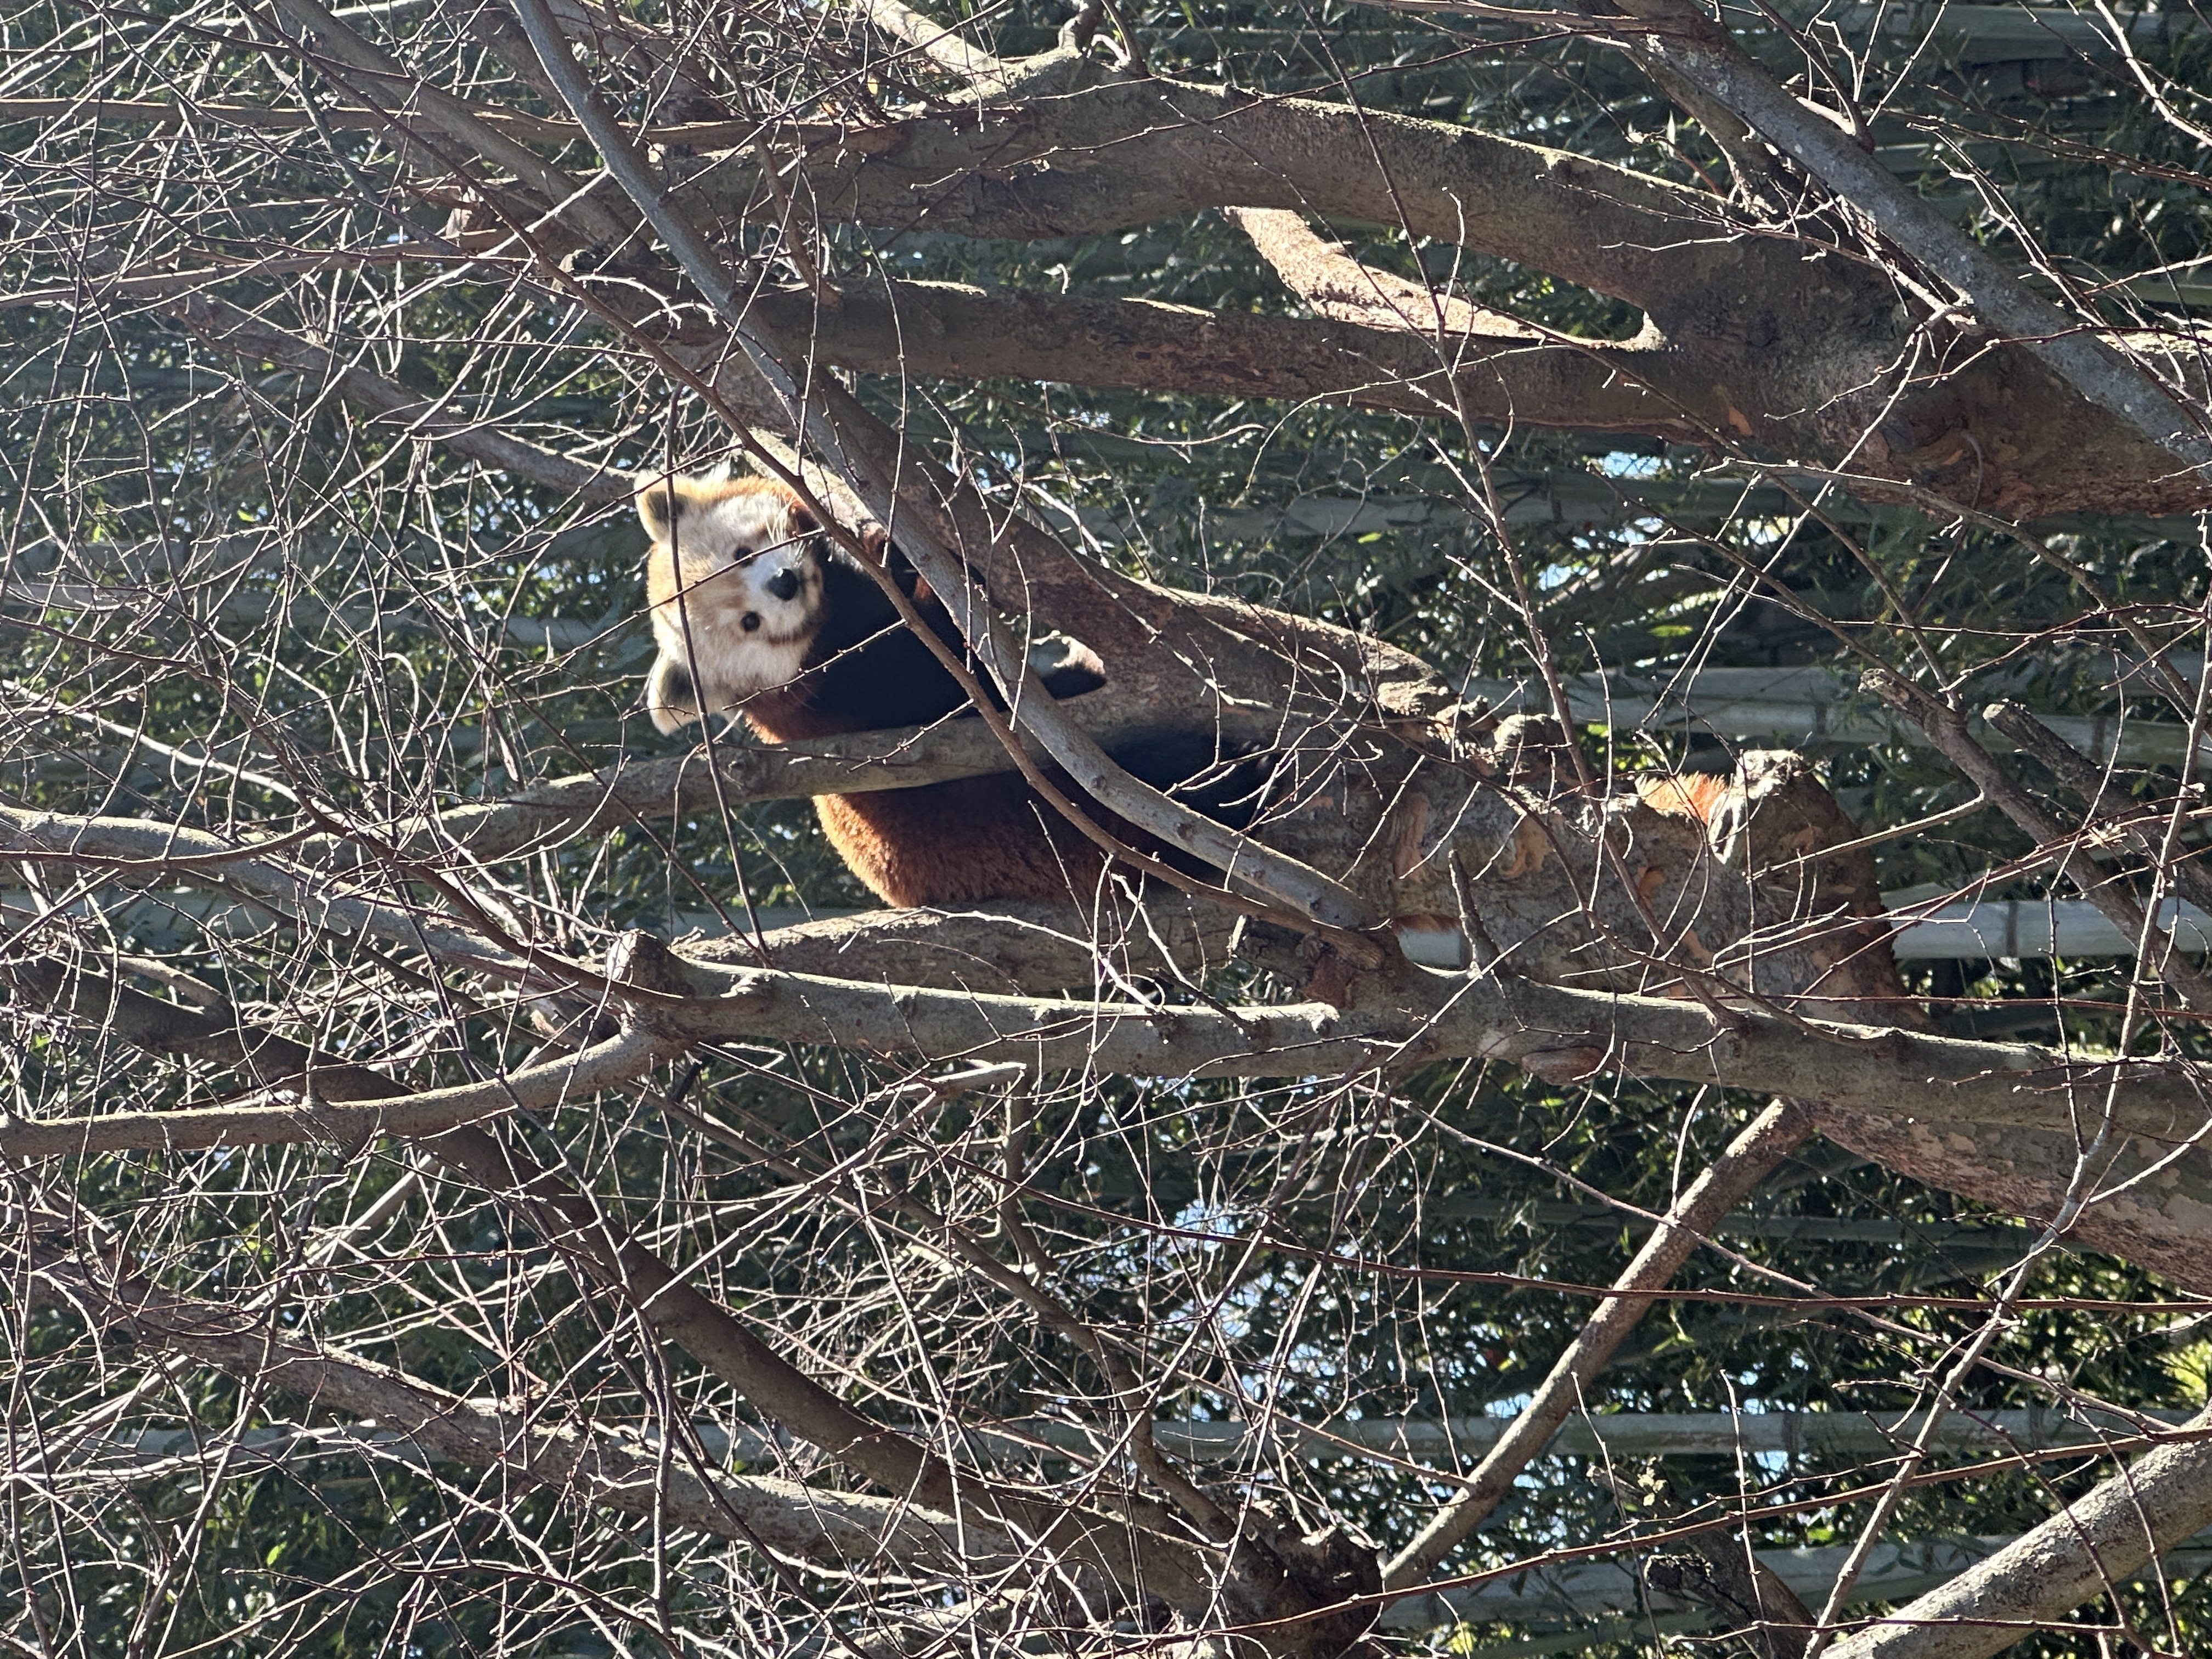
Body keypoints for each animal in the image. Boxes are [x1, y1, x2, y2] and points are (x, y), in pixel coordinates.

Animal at [638, 472, 1253, 908]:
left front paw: (880, 541)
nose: (785, 584)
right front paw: (931, 570)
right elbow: (949, 665)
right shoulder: (854, 689)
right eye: (749, 624)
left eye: (741, 556)